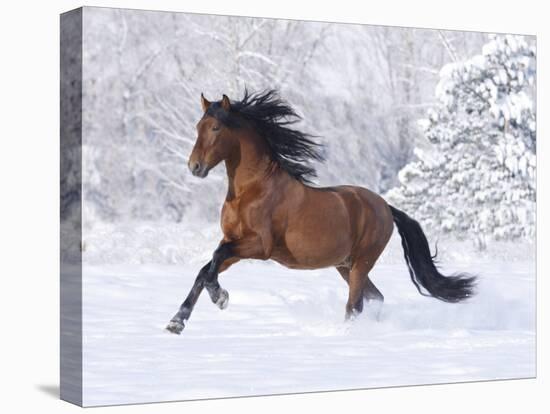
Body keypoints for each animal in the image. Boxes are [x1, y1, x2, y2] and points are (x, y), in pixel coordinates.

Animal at [166, 90, 476, 334]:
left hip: (361, 263)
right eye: (198, 126)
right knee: (375, 298)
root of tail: (386, 207)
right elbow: (206, 269)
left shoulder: (259, 246)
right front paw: (177, 321)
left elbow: (215, 260)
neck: (251, 190)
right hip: (345, 265)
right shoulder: (233, 242)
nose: (194, 167)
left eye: (216, 128)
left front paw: (220, 297)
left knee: (354, 305)